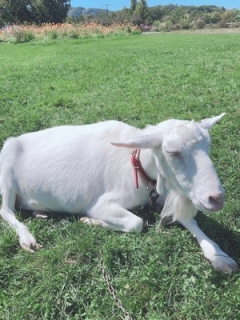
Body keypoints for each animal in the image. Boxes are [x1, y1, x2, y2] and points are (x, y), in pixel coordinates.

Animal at [0, 112, 237, 272]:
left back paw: (40, 212)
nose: (216, 198)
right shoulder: (101, 204)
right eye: (172, 151)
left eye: (208, 145)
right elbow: (136, 223)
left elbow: (189, 220)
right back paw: (27, 237)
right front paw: (90, 221)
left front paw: (219, 255)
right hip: (7, 174)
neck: (137, 165)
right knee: (6, 210)